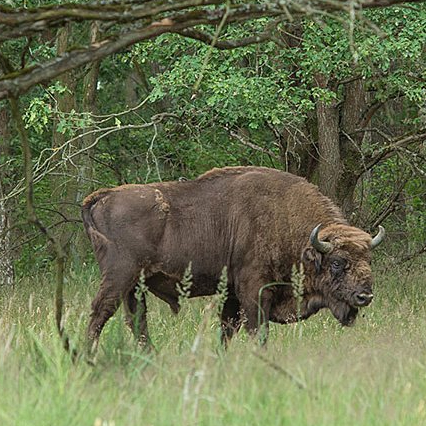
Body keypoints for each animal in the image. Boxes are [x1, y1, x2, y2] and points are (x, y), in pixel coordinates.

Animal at [81, 166, 384, 350]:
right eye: (337, 262)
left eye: (368, 260)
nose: (365, 296)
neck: (285, 220)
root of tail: (102, 197)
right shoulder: (253, 291)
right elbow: (257, 332)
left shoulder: (231, 294)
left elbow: (226, 330)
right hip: (119, 277)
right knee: (100, 312)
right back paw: (85, 357)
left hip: (135, 285)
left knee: (136, 320)